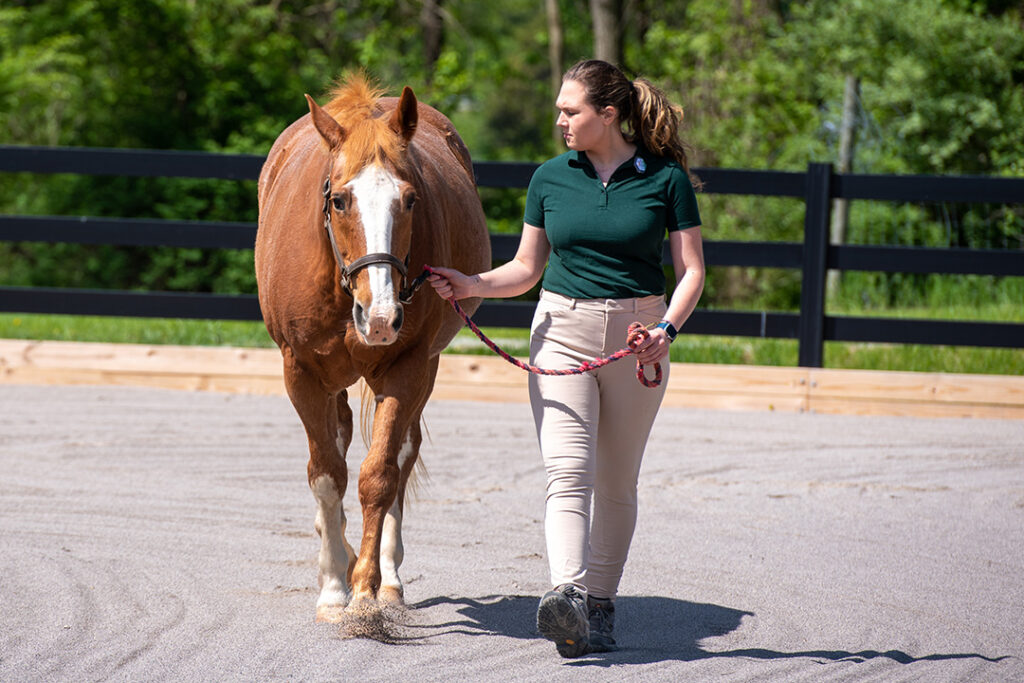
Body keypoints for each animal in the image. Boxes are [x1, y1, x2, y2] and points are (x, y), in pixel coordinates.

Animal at [255, 75, 490, 621]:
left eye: (410, 199)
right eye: (340, 200)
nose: (380, 317)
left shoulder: (409, 367)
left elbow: (379, 475)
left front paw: (364, 588)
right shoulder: (301, 373)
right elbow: (326, 474)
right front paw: (332, 588)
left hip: (424, 369)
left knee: (401, 456)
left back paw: (387, 577)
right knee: (338, 442)